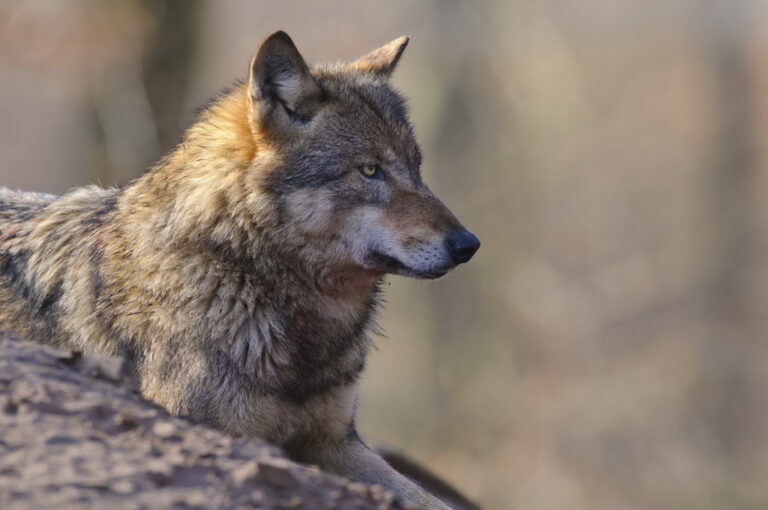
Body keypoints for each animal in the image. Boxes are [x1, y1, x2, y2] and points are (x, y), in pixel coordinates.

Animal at [0, 32, 480, 510]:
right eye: (369, 169)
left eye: (417, 168)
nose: (468, 245)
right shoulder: (211, 428)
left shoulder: (335, 442)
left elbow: (429, 500)